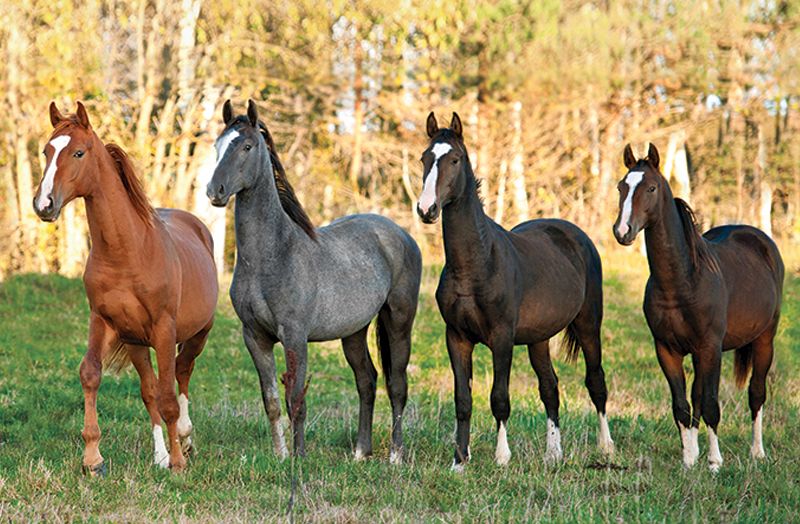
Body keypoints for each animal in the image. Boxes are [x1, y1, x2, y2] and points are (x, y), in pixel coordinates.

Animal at [33, 102, 219, 475]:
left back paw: (184, 440)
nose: (44, 204)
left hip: (197, 334)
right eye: (46, 151)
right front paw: (93, 459)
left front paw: (178, 462)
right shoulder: (104, 322)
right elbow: (92, 374)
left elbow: (168, 397)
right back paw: (160, 455)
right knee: (150, 390)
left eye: (78, 152)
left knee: (182, 373)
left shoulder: (164, 329)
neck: (127, 252)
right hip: (137, 343)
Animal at [206, 100, 421, 463]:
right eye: (217, 145)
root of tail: (400, 234)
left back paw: (396, 455)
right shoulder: (255, 338)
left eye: (247, 146)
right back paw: (360, 451)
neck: (273, 255)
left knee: (396, 385)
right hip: (353, 332)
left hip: (399, 322)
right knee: (366, 381)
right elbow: (272, 401)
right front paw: (281, 456)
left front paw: (300, 457)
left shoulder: (295, 337)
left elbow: (297, 399)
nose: (214, 191)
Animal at [416, 112, 614, 470]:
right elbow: (463, 400)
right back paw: (553, 454)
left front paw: (502, 457)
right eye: (425, 158)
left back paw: (606, 448)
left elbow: (499, 398)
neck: (476, 264)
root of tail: (576, 235)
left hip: (588, 325)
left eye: (454, 159)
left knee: (596, 383)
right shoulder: (456, 337)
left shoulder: (502, 338)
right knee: (550, 388)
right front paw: (459, 461)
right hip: (539, 339)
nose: (427, 209)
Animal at [613, 143, 784, 471]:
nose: (622, 230)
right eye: (621, 187)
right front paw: (688, 460)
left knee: (756, 394)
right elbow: (682, 405)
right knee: (696, 396)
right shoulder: (667, 350)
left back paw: (757, 452)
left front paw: (715, 463)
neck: (682, 282)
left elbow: (711, 404)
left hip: (764, 339)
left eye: (651, 188)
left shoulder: (710, 347)